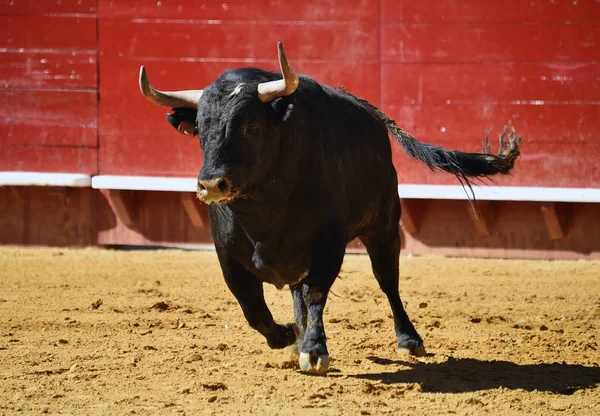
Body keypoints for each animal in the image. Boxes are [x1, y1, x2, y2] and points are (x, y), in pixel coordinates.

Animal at [139, 44, 520, 376]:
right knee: (297, 291)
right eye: (200, 130)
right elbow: (253, 307)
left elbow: (316, 292)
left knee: (387, 280)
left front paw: (314, 351)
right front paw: (289, 336)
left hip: (383, 226)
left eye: (251, 126)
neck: (263, 212)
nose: (212, 184)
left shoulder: (329, 242)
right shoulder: (227, 255)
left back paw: (409, 340)